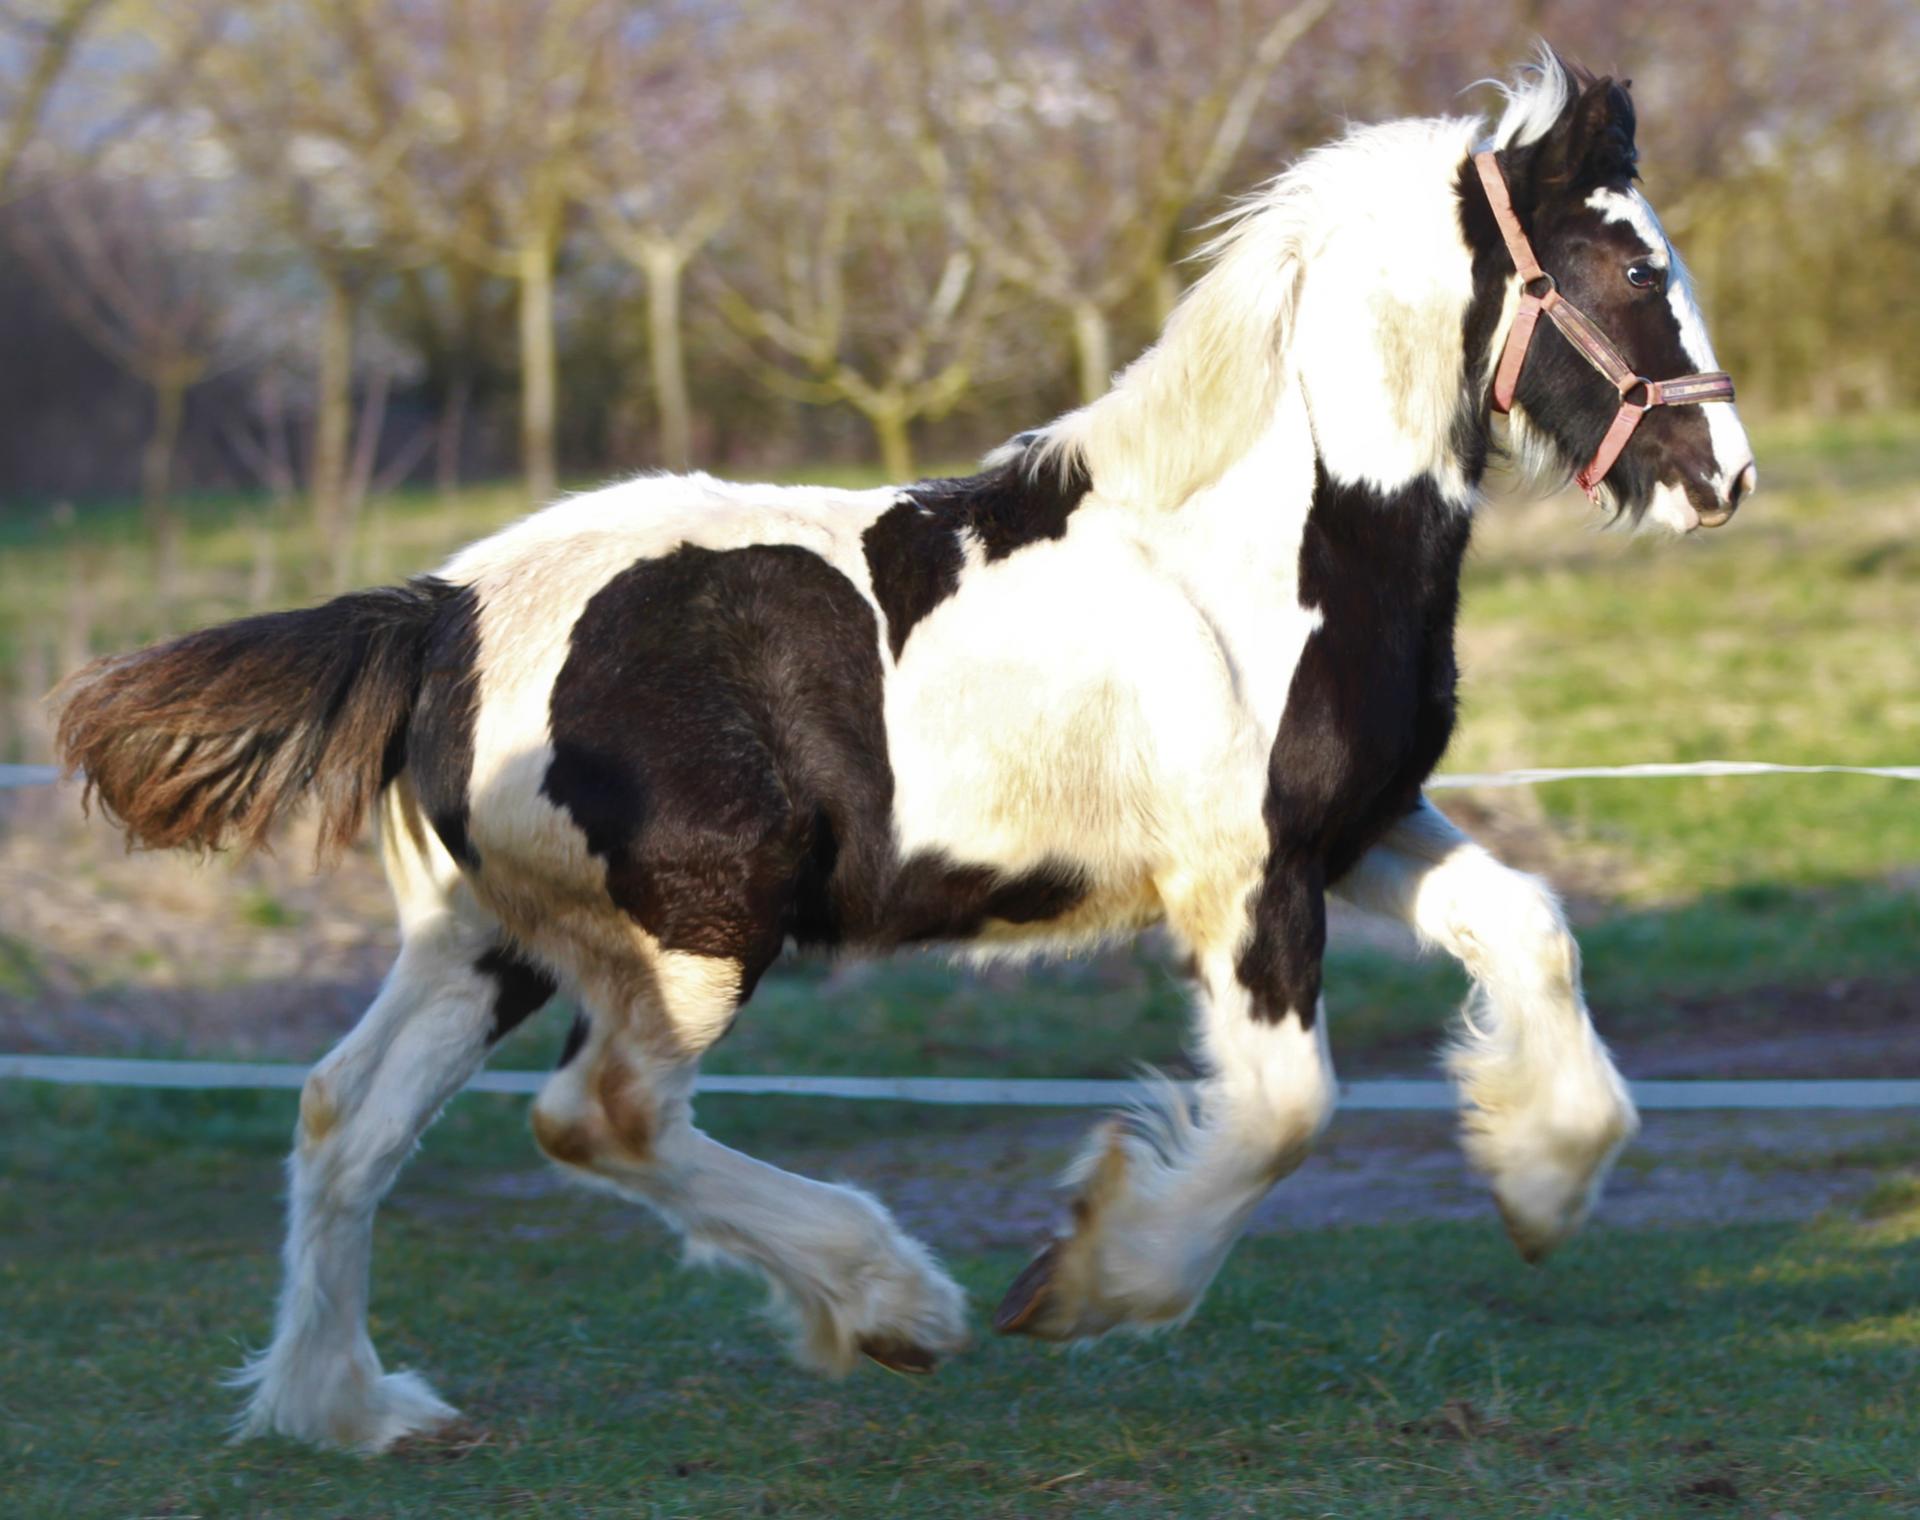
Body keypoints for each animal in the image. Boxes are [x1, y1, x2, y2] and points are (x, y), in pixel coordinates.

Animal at [56, 47, 1758, 1450]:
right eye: (1624, 260)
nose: (1724, 478)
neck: (1258, 546)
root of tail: (441, 614)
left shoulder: (1361, 831)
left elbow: (1532, 931)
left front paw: (1539, 1183)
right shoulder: (1242, 879)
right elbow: (1284, 1111)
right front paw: (1083, 1281)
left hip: (491, 937)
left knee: (344, 1115)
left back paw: (353, 1411)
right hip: (700, 926)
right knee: (599, 1115)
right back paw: (891, 1304)